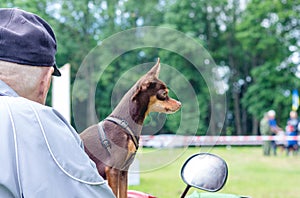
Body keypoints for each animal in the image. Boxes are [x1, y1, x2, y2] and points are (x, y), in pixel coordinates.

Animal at [79, 58, 182, 198]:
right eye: (164, 94)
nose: (180, 104)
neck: (124, 125)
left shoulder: (123, 171)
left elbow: (123, 194)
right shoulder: (113, 170)